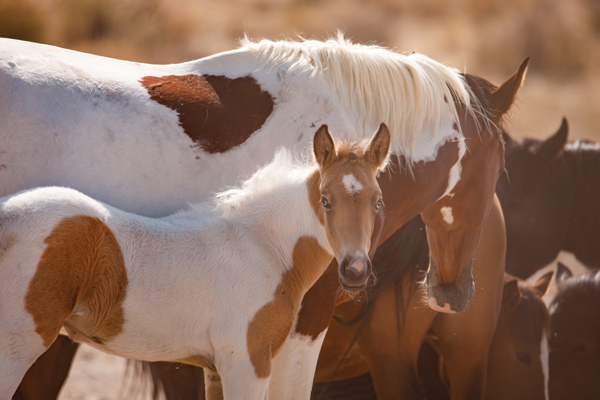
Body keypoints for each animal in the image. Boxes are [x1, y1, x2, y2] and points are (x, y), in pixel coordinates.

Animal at [0, 123, 390, 398]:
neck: (264, 246)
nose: (355, 271)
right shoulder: (247, 363)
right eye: (325, 200)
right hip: (17, 345)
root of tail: (7, 216)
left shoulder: (216, 369)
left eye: (378, 201)